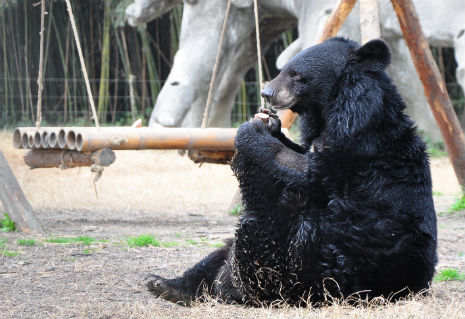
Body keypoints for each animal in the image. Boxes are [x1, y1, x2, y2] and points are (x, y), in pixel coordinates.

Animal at [147, 38, 436, 308]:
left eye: (296, 74)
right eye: (282, 69)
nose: (267, 93)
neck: (338, 107)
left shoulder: (355, 148)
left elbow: (309, 171)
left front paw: (252, 132)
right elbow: (300, 151)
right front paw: (270, 123)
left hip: (317, 263)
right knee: (217, 256)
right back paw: (163, 284)